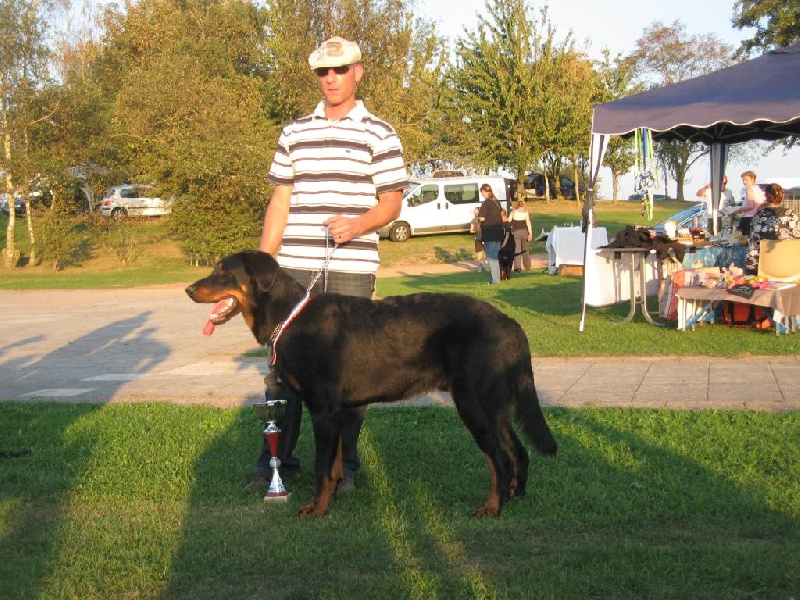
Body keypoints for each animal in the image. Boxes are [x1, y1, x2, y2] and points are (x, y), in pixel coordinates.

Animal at [186, 250, 556, 516]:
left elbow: (322, 466)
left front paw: (317, 509)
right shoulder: (332, 410)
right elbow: (334, 464)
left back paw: (492, 508)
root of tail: (511, 324)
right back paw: (515, 496)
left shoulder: (323, 408)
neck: (289, 317)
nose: (189, 289)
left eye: (223, 270)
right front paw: (332, 499)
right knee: (518, 452)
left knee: (499, 459)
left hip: (474, 405)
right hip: (494, 407)